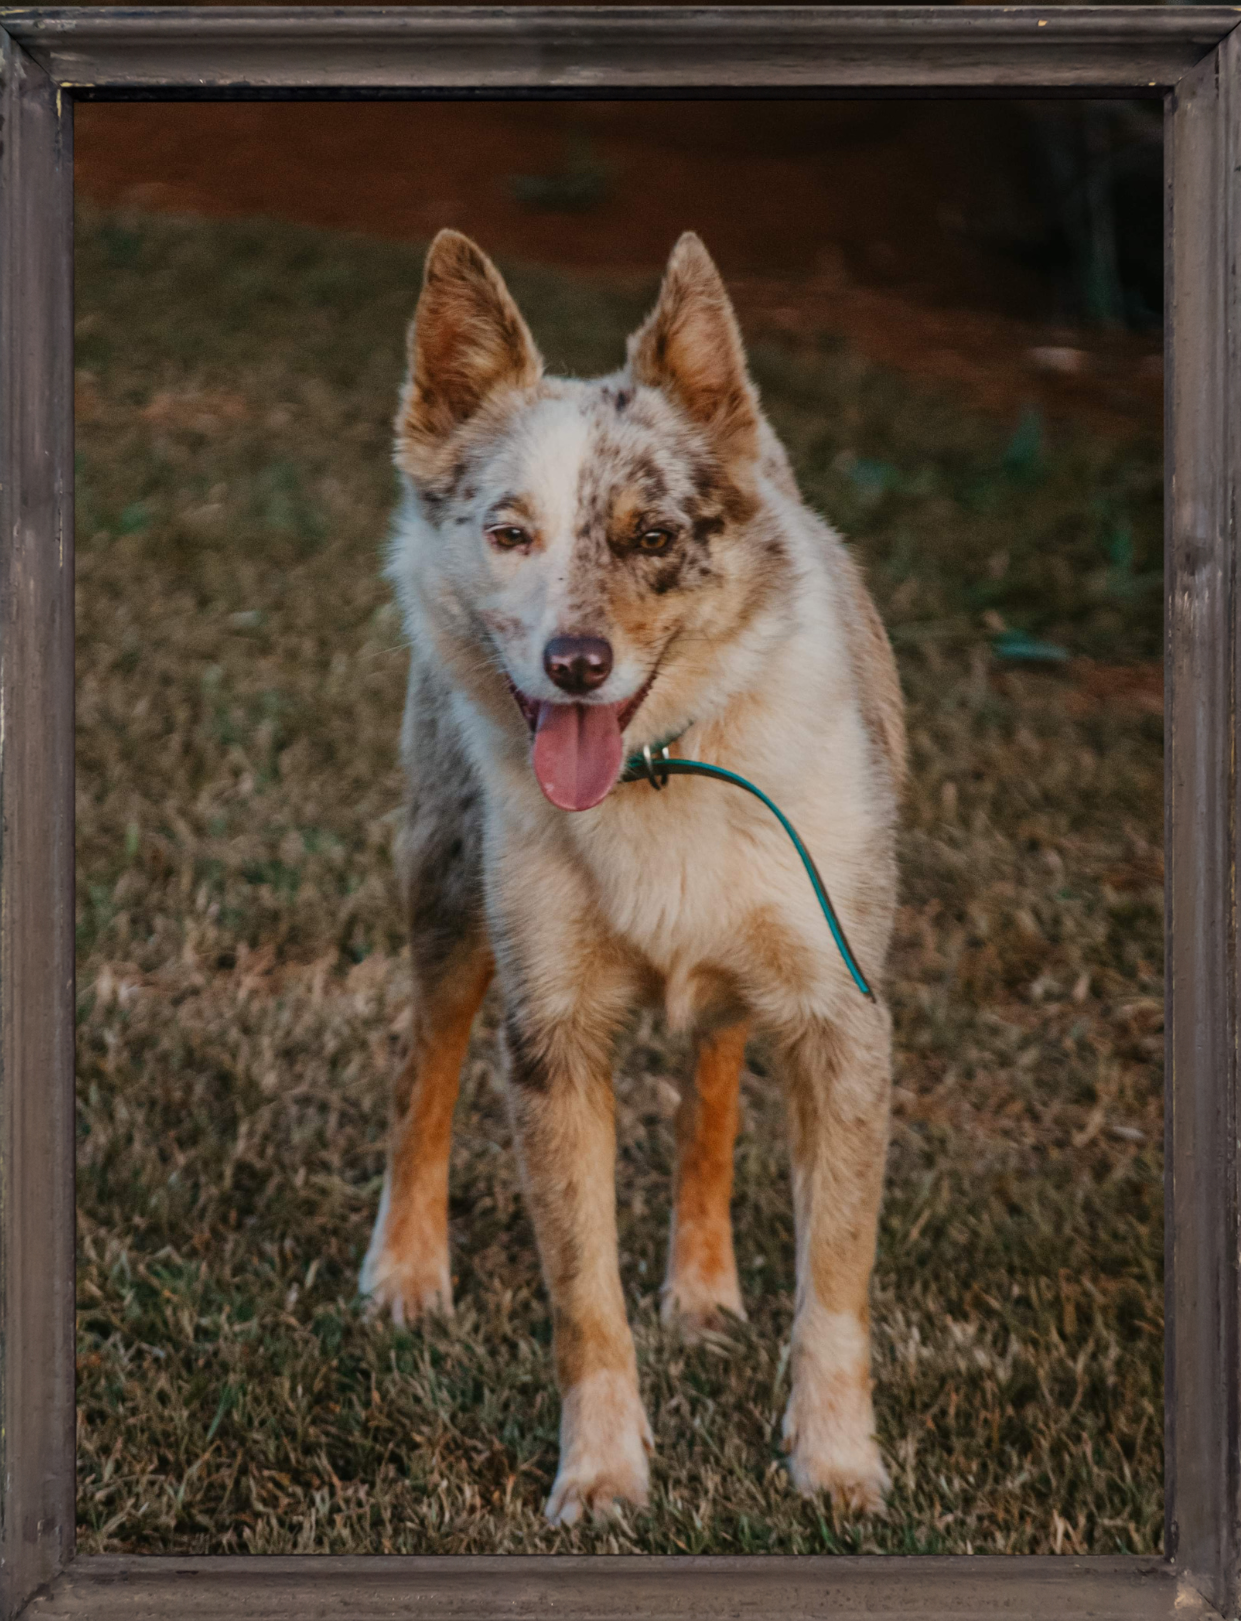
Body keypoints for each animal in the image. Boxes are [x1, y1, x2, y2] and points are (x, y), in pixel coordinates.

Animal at [359, 225, 907, 1517]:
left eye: (653, 538)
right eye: (508, 533)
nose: (574, 662)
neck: (658, 769)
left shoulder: (841, 1018)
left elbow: (834, 1286)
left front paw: (835, 1466)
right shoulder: (551, 1034)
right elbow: (583, 1303)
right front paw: (602, 1477)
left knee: (711, 1081)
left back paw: (702, 1286)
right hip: (447, 889)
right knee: (425, 1066)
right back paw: (405, 1268)